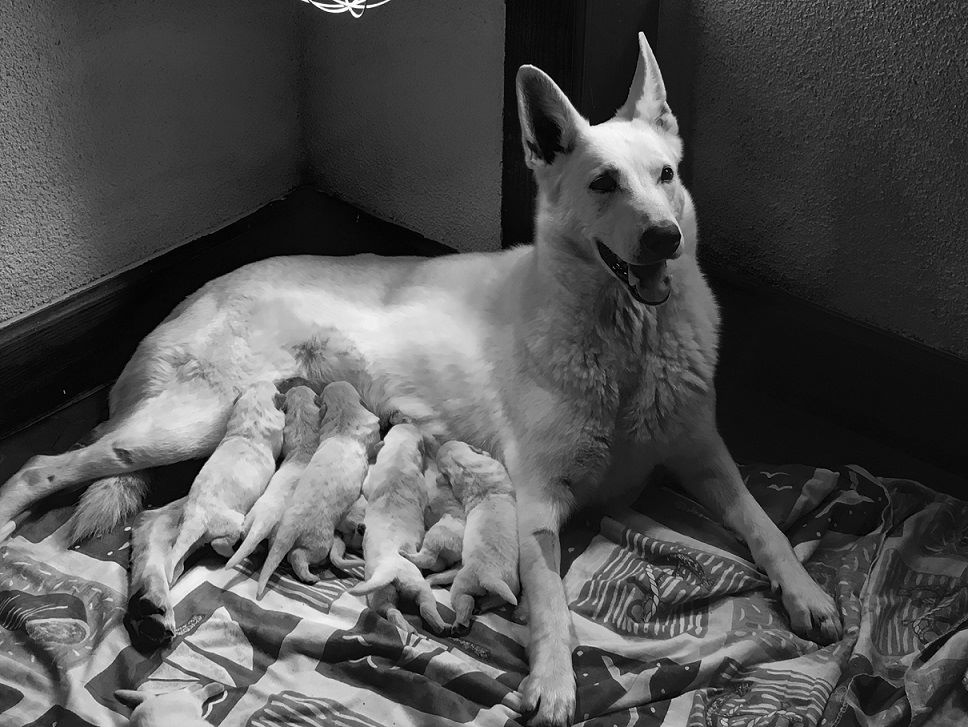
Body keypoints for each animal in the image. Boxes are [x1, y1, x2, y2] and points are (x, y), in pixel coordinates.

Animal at [258, 382, 378, 592]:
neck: (344, 412)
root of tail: (289, 528)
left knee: (289, 555)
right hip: (320, 542)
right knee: (299, 556)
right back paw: (310, 576)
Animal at [350, 424, 448, 636]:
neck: (399, 454)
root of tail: (388, 569)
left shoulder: (370, 481)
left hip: (380, 594)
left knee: (391, 611)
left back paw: (407, 628)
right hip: (417, 583)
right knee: (426, 607)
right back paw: (440, 625)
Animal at [432, 440, 520, 636]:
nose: (444, 443)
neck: (465, 466)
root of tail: (489, 575)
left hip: (468, 583)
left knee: (467, 601)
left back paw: (461, 621)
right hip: (506, 583)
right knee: (493, 599)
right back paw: (475, 611)